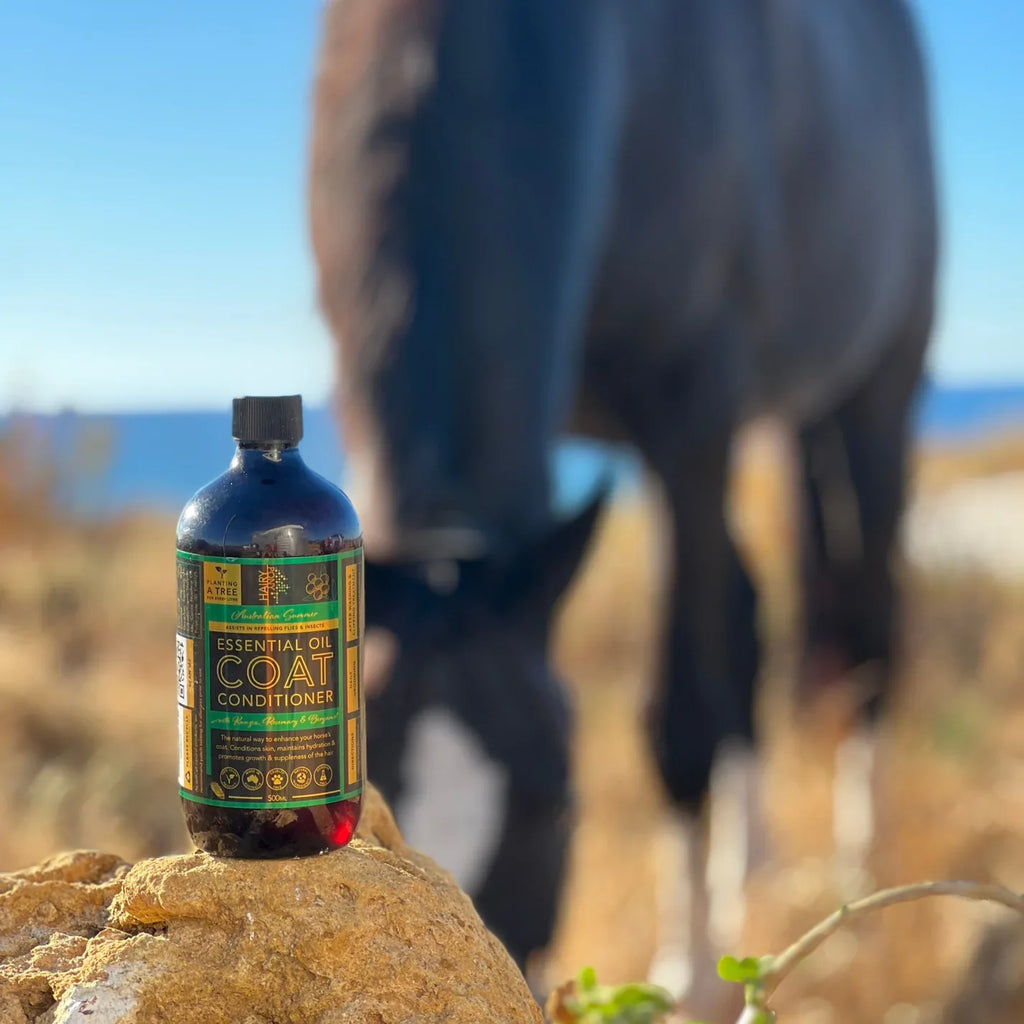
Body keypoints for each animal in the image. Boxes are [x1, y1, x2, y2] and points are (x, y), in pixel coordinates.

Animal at [308, 0, 937, 1000]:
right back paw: (754, 864)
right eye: (373, 806)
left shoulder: (694, 413)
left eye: (562, 805)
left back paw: (854, 874)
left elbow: (681, 717)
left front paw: (695, 975)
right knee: (750, 620)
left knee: (866, 613)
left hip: (875, 380)